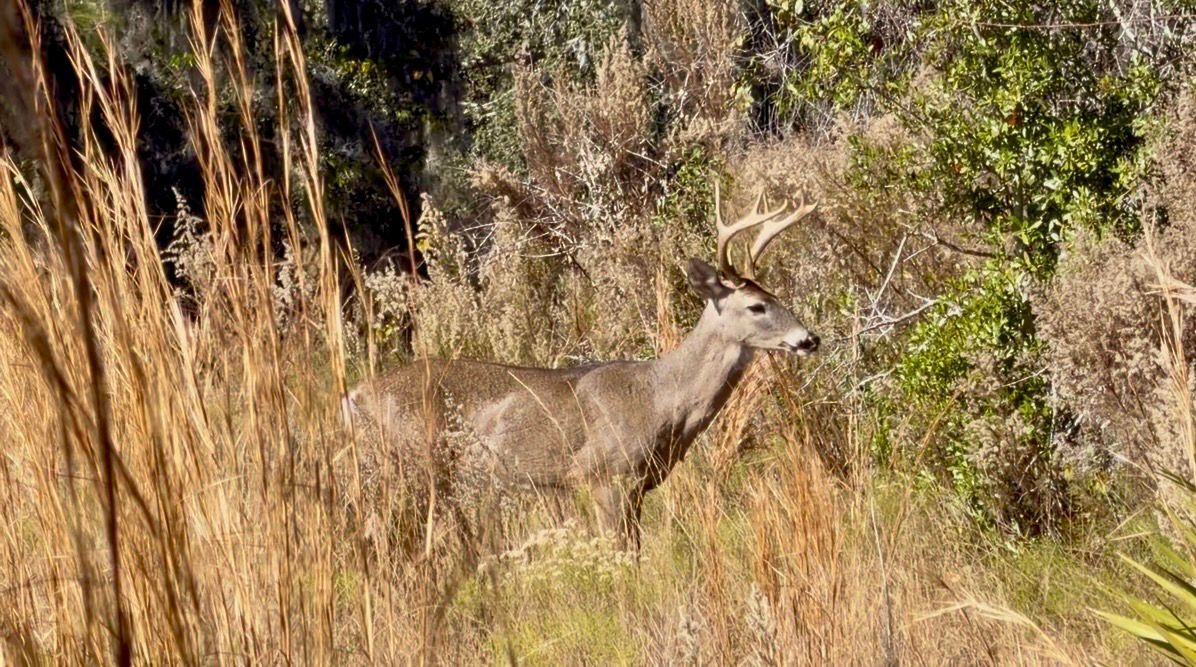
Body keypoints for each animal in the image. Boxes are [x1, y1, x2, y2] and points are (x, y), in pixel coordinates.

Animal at [343, 183, 820, 551]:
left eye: (777, 296)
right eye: (756, 306)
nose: (808, 339)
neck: (661, 400)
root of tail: (355, 393)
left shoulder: (636, 486)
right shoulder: (605, 476)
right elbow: (624, 555)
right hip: (414, 462)